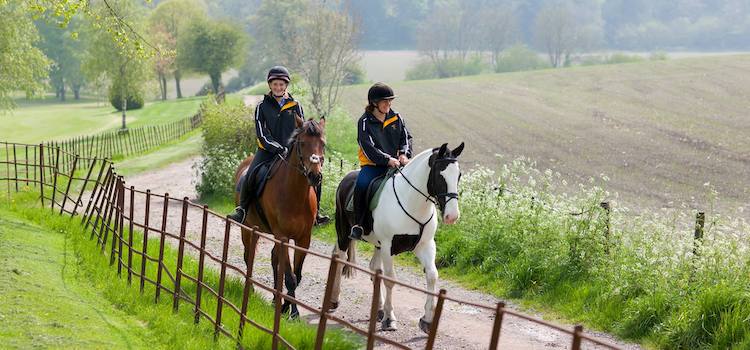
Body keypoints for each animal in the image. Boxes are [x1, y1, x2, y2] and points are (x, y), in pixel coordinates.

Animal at [235, 117, 326, 318]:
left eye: (322, 143)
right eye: (302, 143)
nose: (314, 175)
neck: (295, 194)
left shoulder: (303, 239)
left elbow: (296, 276)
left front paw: (286, 306)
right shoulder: (282, 236)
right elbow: (290, 277)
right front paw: (292, 311)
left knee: (273, 259)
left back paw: (274, 299)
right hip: (249, 229)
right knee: (249, 256)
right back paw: (251, 289)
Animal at [330, 143, 462, 334]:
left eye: (458, 175)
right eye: (440, 175)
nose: (452, 216)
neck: (411, 202)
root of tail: (346, 178)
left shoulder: (425, 245)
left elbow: (432, 276)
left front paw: (427, 320)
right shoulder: (388, 246)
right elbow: (390, 279)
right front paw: (389, 319)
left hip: (377, 245)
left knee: (374, 268)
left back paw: (378, 309)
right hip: (344, 232)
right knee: (340, 260)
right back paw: (334, 300)